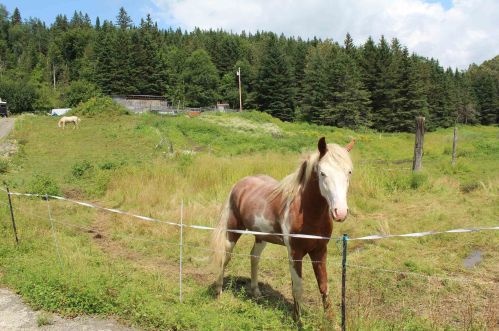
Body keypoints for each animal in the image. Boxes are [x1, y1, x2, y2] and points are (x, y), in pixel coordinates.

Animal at [212, 137, 356, 324]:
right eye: (323, 173)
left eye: (349, 172)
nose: (340, 212)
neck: (308, 212)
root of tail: (240, 184)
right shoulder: (295, 253)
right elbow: (298, 288)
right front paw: (298, 320)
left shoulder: (320, 251)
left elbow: (324, 286)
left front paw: (331, 321)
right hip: (233, 231)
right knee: (225, 257)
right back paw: (218, 292)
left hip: (261, 237)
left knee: (254, 256)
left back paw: (256, 292)